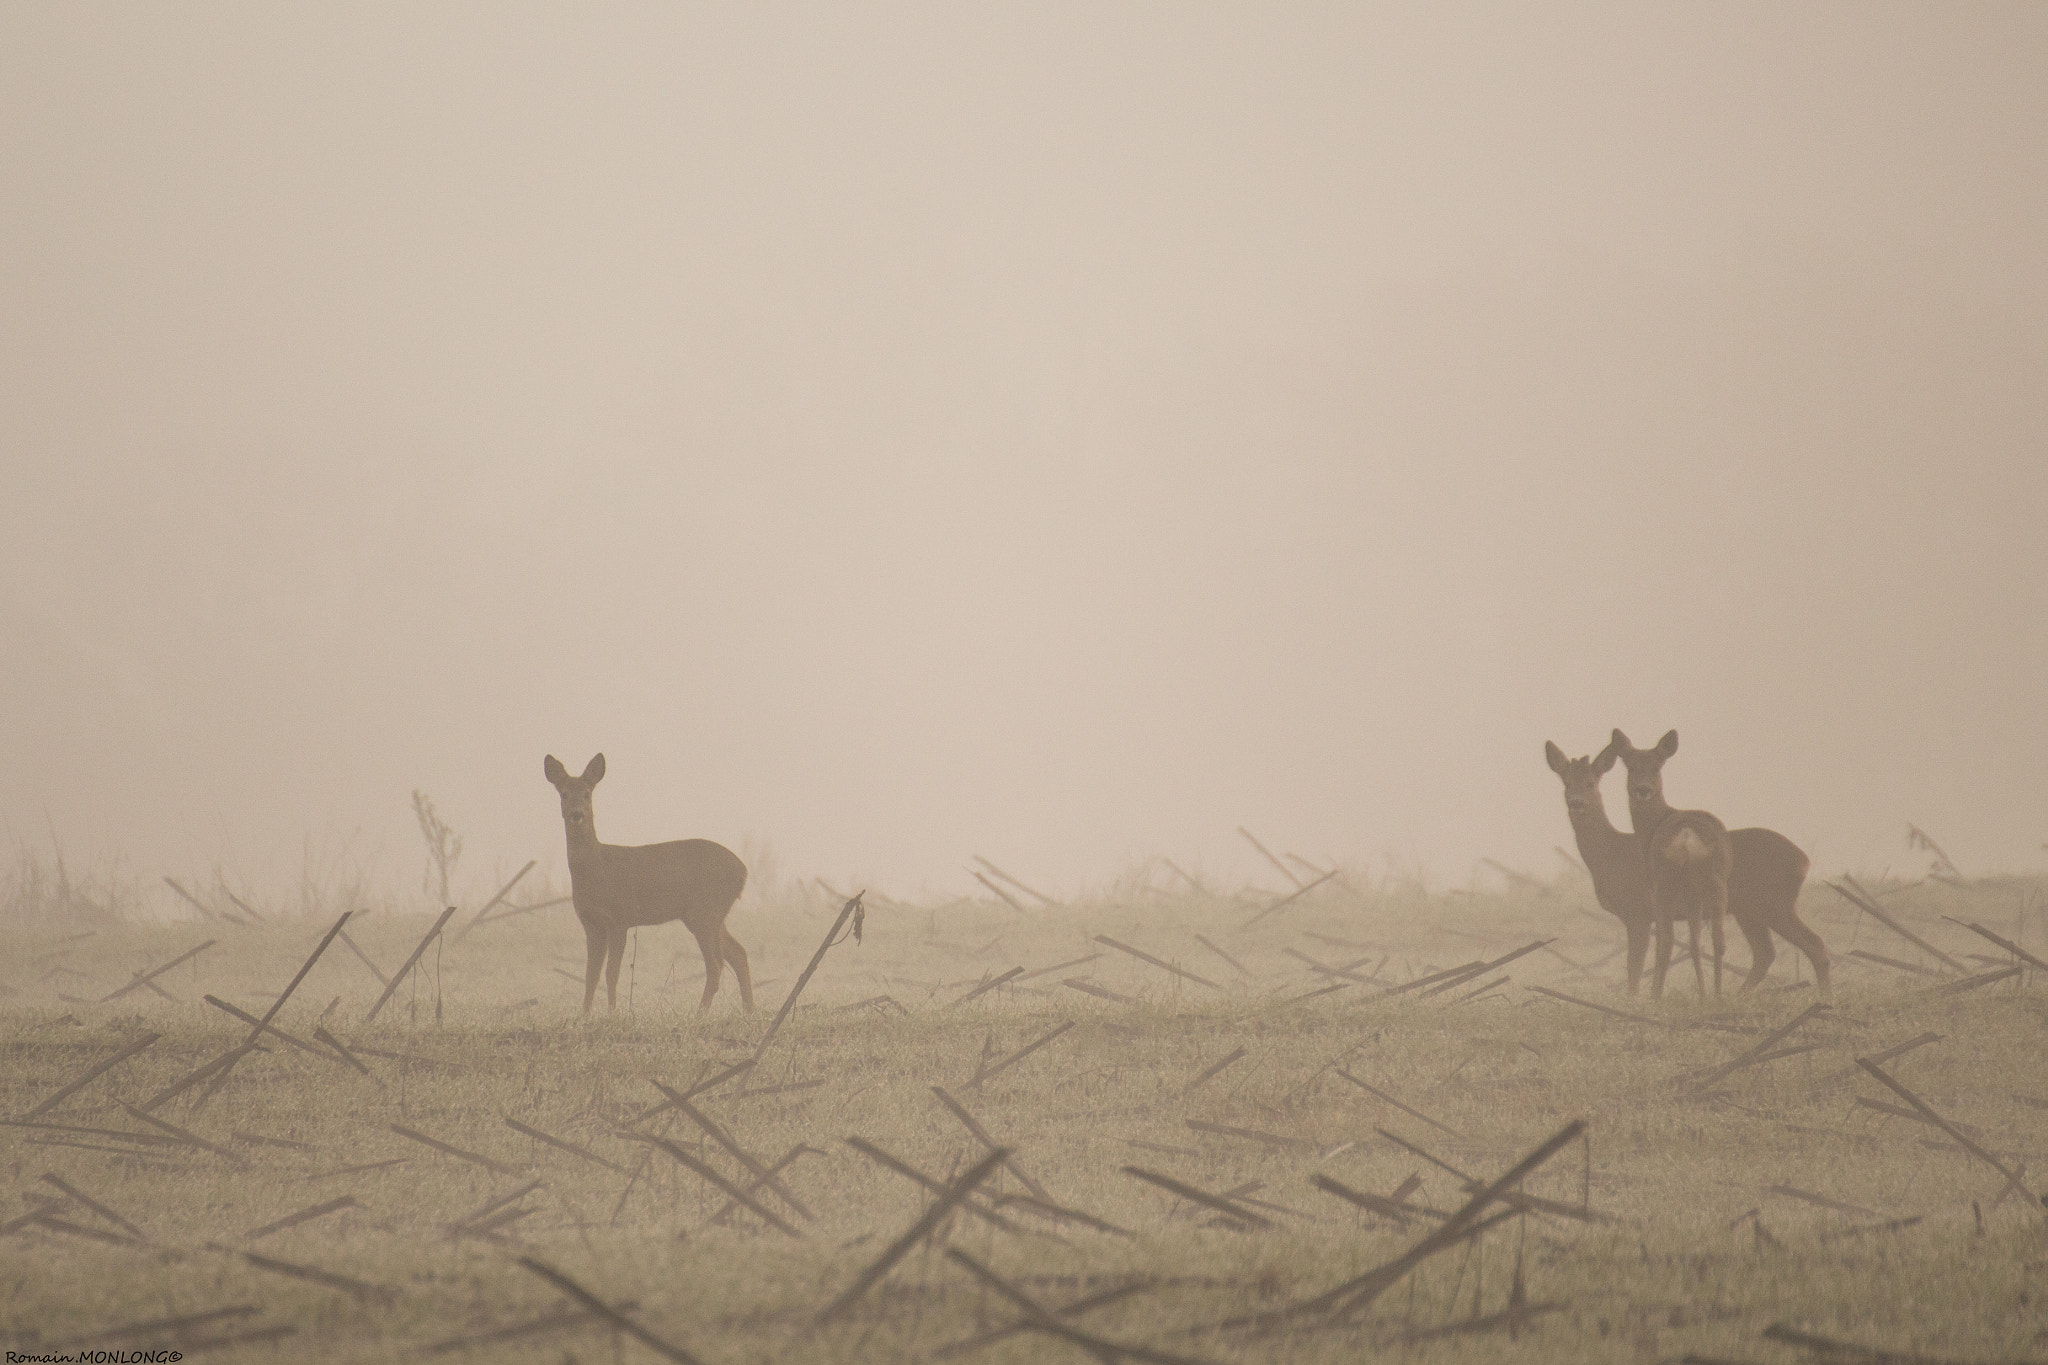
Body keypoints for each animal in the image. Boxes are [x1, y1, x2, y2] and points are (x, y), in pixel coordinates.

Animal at [544, 757, 753, 1015]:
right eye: (563, 793)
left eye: (587, 793)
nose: (576, 814)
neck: (597, 868)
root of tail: (743, 872)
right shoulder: (591, 923)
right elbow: (590, 975)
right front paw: (584, 1015)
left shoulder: (619, 917)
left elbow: (611, 973)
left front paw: (612, 1013)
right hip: (713, 915)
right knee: (739, 953)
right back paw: (748, 1010)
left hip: (704, 912)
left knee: (717, 964)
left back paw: (700, 1014)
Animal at [1605, 732, 1736, 998]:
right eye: (1630, 766)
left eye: (1657, 766)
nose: (1643, 789)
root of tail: (1686, 836)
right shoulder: (1692, 894)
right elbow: (1695, 943)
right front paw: (1703, 995)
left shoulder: (1656, 886)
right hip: (1713, 881)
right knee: (1716, 938)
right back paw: (1716, 996)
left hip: (1666, 881)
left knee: (1667, 939)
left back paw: (1657, 996)